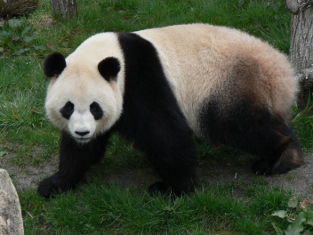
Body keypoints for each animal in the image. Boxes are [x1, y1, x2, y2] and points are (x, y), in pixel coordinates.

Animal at [37, 23, 302, 198]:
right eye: (68, 107)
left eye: (95, 107)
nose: (82, 132)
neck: (105, 54)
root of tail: (280, 74)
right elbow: (82, 150)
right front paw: (55, 183)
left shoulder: (140, 78)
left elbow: (162, 133)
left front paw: (174, 188)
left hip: (224, 85)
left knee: (236, 124)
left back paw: (280, 156)